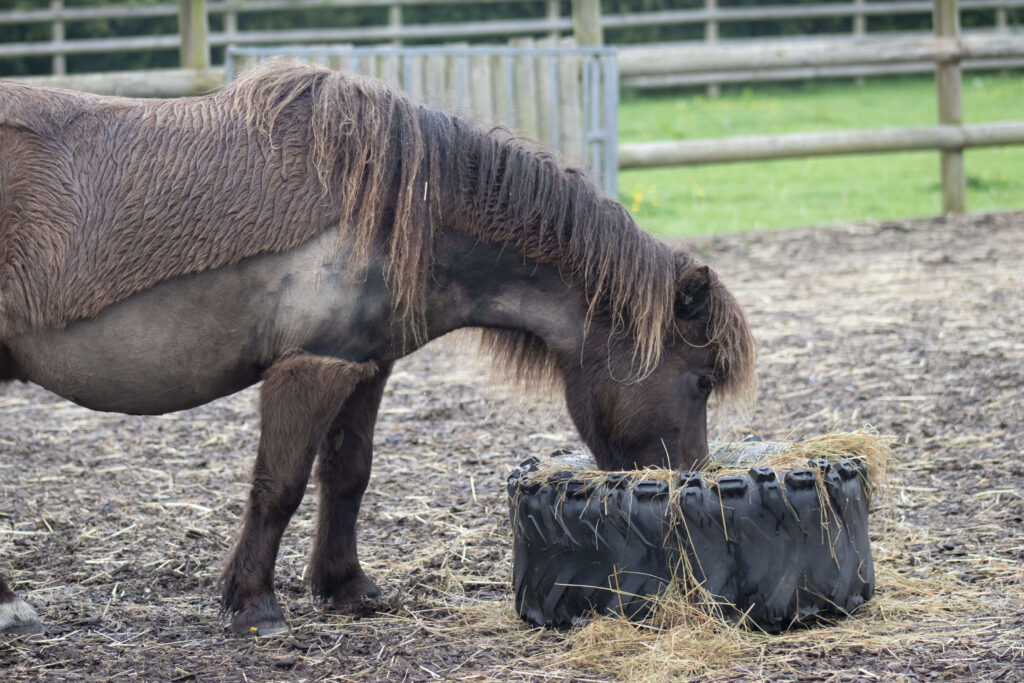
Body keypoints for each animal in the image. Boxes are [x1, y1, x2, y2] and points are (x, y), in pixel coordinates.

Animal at [0, 63, 753, 634]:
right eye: (701, 380)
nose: (690, 485)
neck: (399, 206)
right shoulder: (311, 367)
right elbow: (278, 485)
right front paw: (253, 603)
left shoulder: (366, 366)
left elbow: (347, 476)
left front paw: (346, 587)